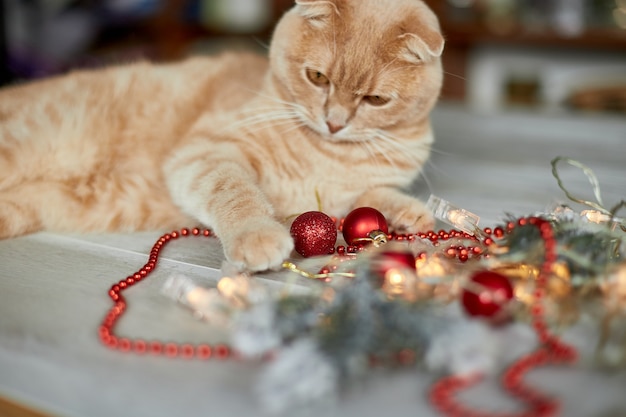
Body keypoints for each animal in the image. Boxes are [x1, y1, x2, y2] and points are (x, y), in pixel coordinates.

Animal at [0, 0, 442, 272]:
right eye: (317, 77)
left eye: (375, 99)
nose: (334, 122)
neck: (329, 155)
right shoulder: (206, 151)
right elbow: (236, 191)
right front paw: (257, 234)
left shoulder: (345, 192)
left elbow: (370, 196)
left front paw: (405, 212)